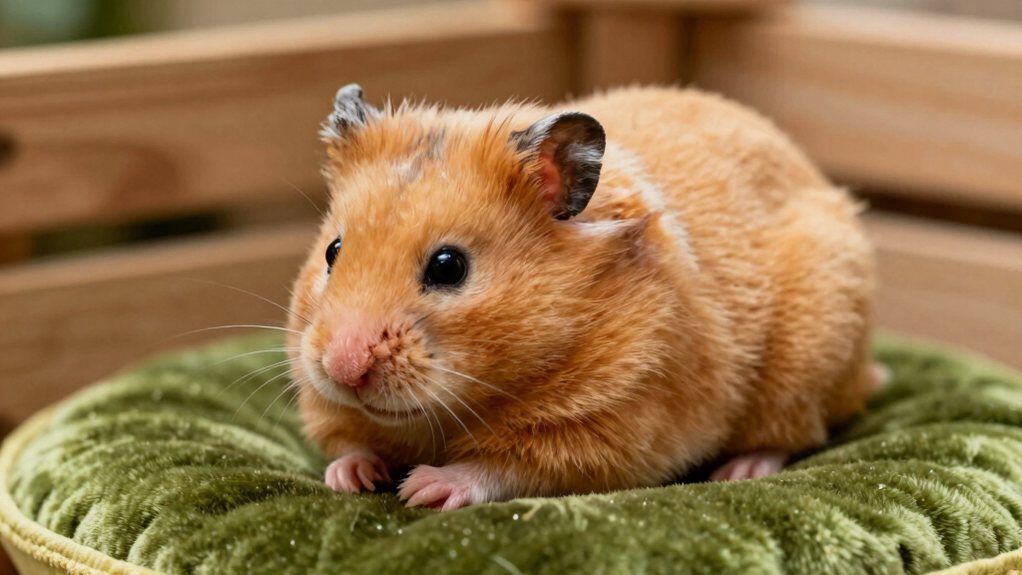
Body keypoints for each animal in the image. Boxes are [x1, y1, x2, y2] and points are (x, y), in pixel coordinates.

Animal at [287, 84, 877, 510]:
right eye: (333, 251)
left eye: (449, 267)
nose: (342, 368)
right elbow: (351, 443)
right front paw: (350, 478)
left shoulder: (609, 428)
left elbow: (507, 468)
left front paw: (423, 488)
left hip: (806, 362)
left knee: (792, 432)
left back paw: (739, 470)